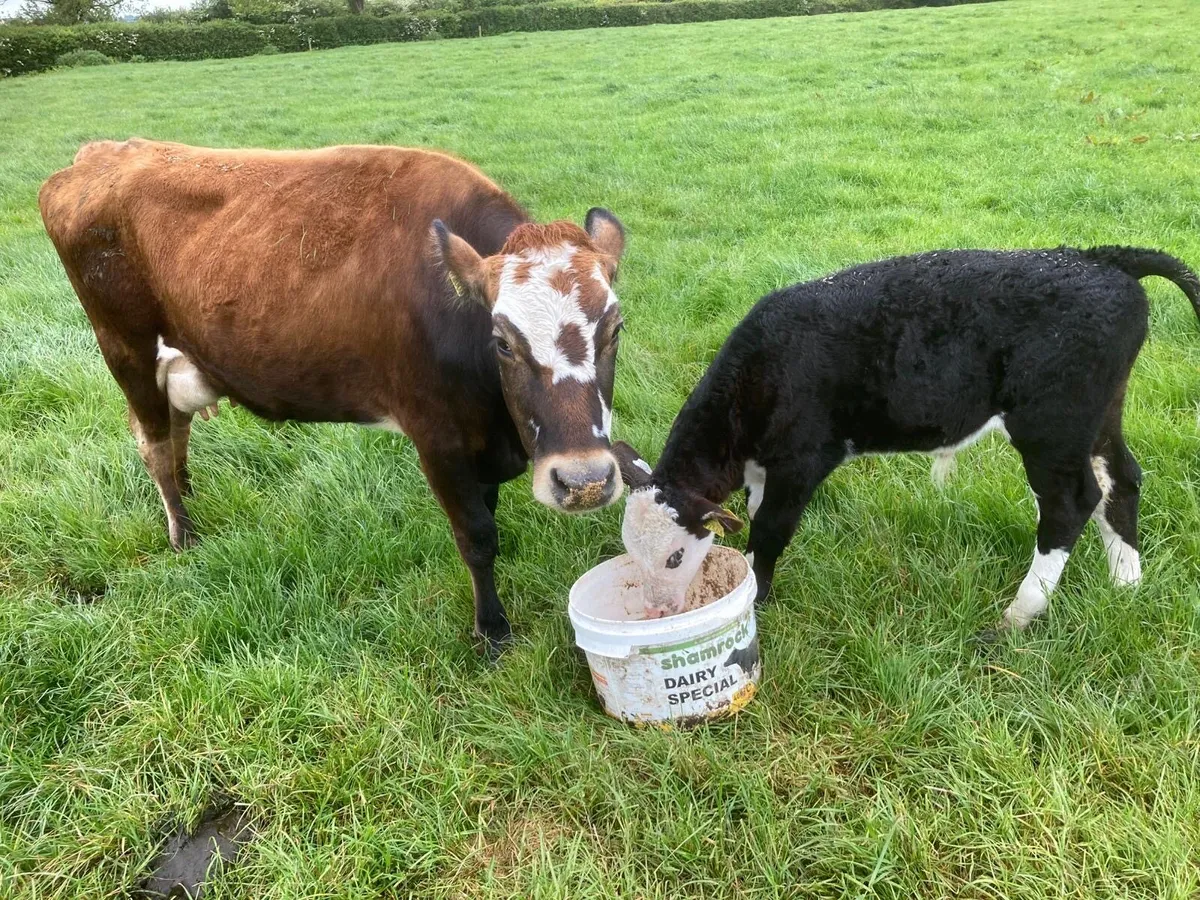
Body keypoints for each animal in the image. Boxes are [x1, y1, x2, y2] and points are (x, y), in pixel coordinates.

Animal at [39, 139, 630, 655]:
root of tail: (101, 153)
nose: (584, 482)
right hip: (124, 348)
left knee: (175, 429)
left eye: (616, 328)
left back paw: (188, 496)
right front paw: (491, 632)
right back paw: (182, 531)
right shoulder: (437, 436)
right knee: (155, 444)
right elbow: (478, 537)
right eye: (503, 340)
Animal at [614, 247, 1199, 638]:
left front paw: (755, 601)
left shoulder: (801, 461)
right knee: (1122, 478)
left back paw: (1018, 615)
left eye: (675, 556)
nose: (658, 614)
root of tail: (1096, 258)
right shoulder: (764, 468)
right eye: (630, 550)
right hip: (1098, 415)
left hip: (1051, 423)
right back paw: (1126, 585)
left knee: (1072, 502)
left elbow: (770, 531)